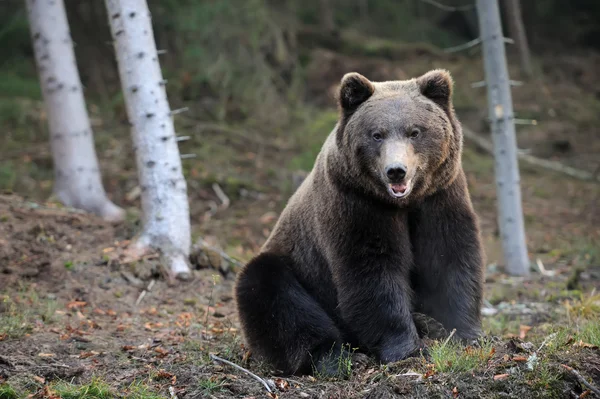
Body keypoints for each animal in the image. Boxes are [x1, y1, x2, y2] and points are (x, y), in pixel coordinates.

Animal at [237, 69, 486, 378]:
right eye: (377, 134)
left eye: (415, 132)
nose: (396, 171)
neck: (402, 204)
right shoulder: (357, 204)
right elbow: (372, 272)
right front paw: (409, 350)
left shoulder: (440, 197)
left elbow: (449, 258)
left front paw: (464, 333)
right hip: (294, 266)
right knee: (274, 297)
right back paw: (340, 357)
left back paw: (428, 323)